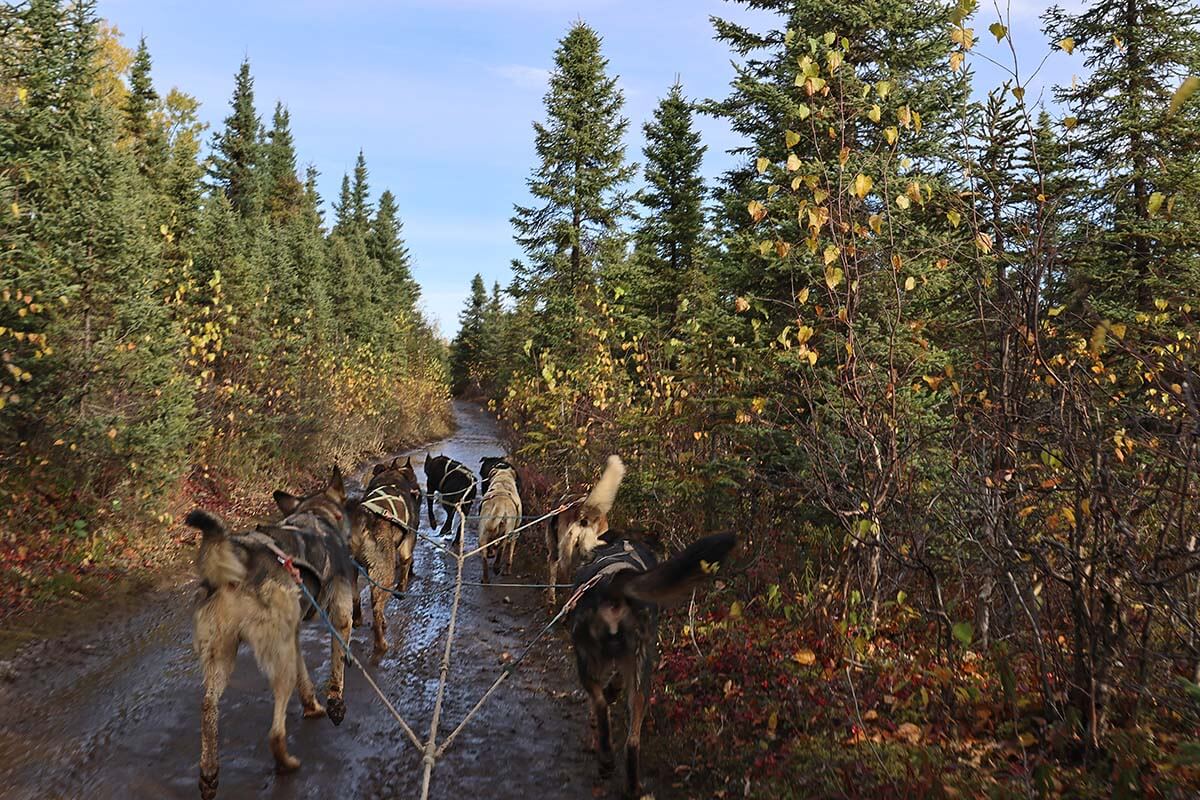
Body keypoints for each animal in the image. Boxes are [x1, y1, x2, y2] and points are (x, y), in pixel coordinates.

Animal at [186, 470, 355, 800]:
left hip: (226, 656)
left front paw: (312, 706)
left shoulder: (295, 637)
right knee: (275, 733)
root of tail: (242, 559)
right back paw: (286, 763)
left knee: (208, 706)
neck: (316, 514)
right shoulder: (340, 616)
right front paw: (334, 704)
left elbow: (306, 679)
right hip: (279, 664)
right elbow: (337, 666)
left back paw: (209, 773)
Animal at [566, 527, 734, 796]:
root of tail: (615, 586)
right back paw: (633, 786)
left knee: (602, 707)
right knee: (633, 741)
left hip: (588, 661)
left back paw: (606, 757)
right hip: (642, 675)